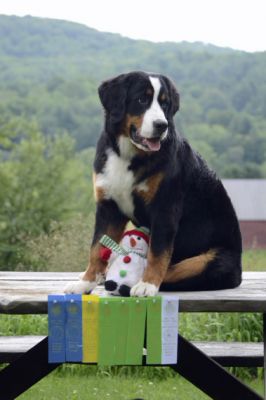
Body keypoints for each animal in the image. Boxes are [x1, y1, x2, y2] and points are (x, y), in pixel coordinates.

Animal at [65, 71, 242, 296]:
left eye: (165, 104)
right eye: (142, 99)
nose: (161, 125)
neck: (128, 155)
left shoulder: (164, 208)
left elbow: (157, 253)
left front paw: (147, 285)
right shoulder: (108, 206)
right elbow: (97, 248)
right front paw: (85, 282)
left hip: (213, 260)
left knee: (174, 270)